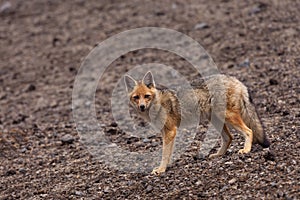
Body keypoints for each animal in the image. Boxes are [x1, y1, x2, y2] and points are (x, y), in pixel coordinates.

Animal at [123, 71, 270, 174]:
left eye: (147, 96)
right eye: (136, 97)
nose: (142, 106)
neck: (157, 104)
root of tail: (235, 79)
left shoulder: (171, 131)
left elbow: (165, 154)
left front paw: (161, 169)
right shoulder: (165, 133)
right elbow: (168, 153)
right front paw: (165, 167)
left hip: (227, 116)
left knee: (249, 131)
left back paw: (246, 150)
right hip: (217, 120)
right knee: (229, 138)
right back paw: (218, 155)